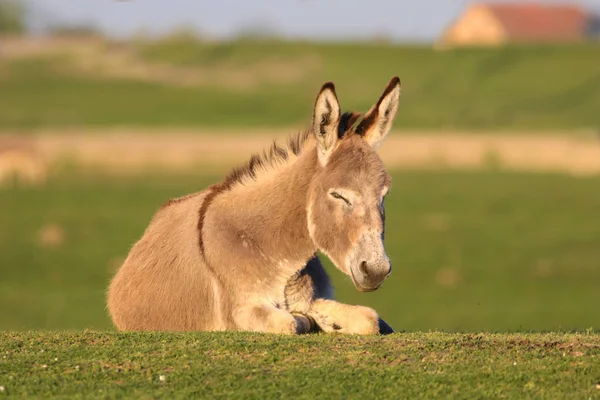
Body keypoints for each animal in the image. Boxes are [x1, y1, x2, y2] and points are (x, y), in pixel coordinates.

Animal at [107, 76, 400, 332]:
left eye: (384, 194)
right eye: (338, 195)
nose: (376, 270)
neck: (272, 247)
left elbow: (371, 319)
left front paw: (326, 320)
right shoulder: (241, 310)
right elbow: (291, 323)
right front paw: (312, 320)